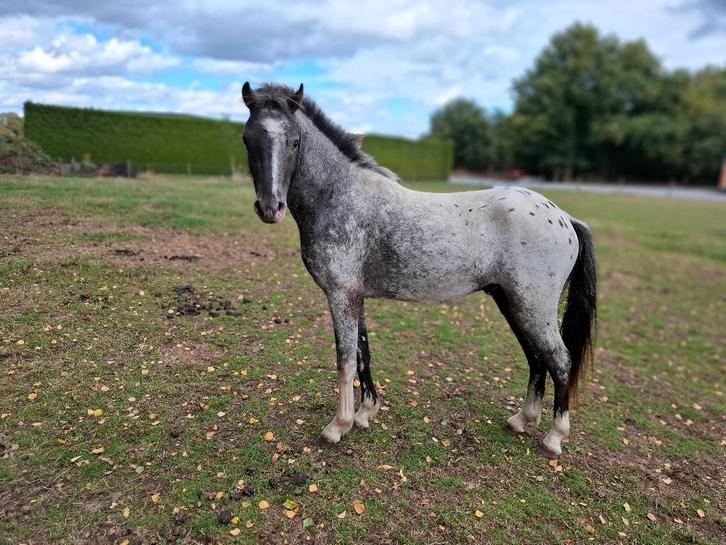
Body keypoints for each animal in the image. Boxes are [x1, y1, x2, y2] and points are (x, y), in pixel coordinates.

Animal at [240, 82, 596, 457]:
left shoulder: (340, 295)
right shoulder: (355, 296)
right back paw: (521, 420)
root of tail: (564, 217)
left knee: (559, 360)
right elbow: (363, 353)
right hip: (512, 302)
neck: (340, 196)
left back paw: (554, 437)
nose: (270, 208)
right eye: (247, 139)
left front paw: (338, 426)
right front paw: (366, 414)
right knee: (536, 358)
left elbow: (345, 359)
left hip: (533, 306)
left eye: (294, 141)